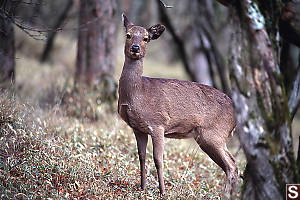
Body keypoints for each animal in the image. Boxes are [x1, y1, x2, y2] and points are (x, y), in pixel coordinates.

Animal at [118, 13, 238, 196]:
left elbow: (158, 159)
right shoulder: (138, 128)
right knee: (233, 164)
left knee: (231, 165)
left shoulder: (158, 124)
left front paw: (162, 192)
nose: (136, 48)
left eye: (146, 38)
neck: (137, 94)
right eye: (128, 35)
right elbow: (141, 156)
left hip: (214, 134)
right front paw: (142, 188)